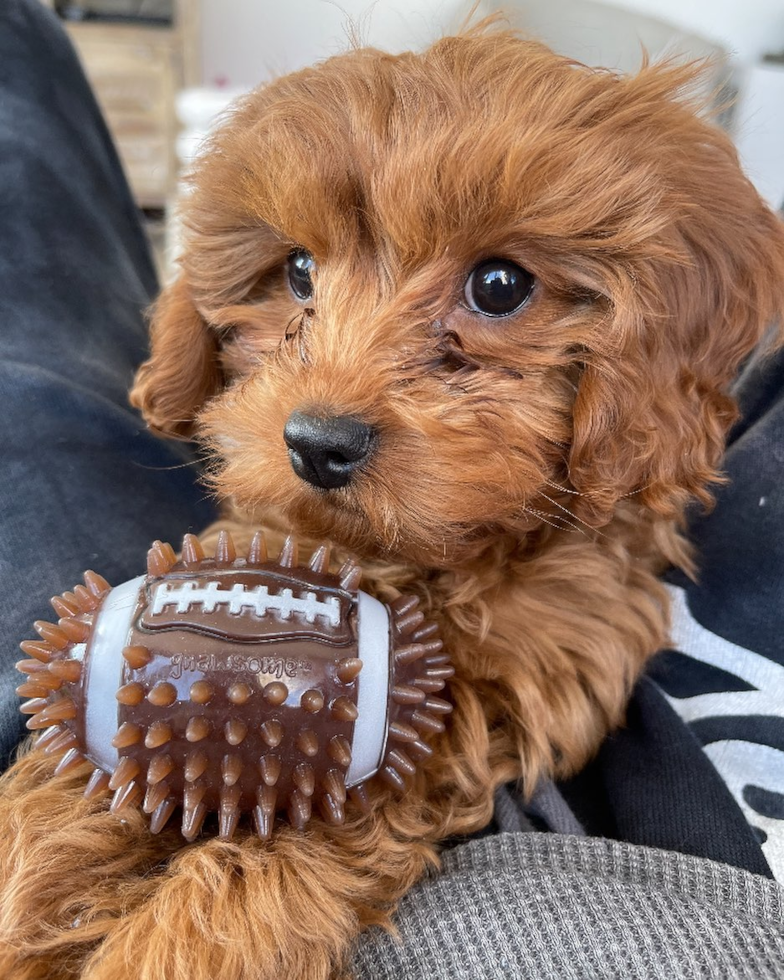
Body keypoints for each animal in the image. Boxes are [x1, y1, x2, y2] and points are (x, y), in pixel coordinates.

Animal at [1, 23, 784, 980]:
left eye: (499, 286)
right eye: (298, 271)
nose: (316, 442)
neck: (426, 557)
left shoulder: (535, 670)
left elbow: (348, 782)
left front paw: (192, 934)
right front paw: (48, 854)